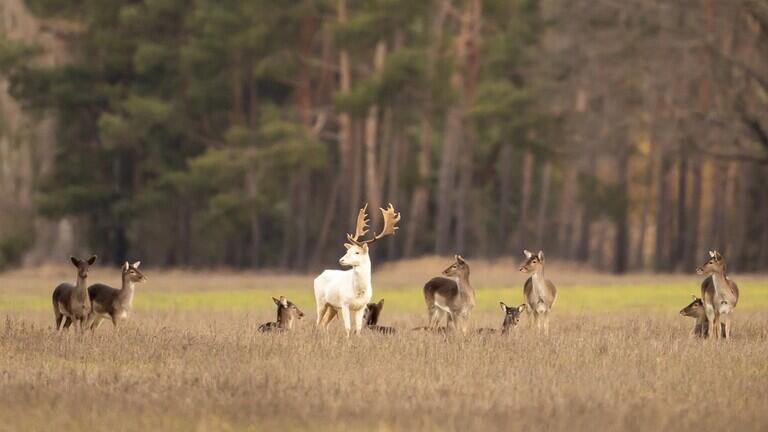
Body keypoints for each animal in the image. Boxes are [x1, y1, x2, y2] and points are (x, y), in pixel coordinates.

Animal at [314, 203, 402, 338]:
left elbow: (359, 327)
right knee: (317, 322)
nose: (341, 260)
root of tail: (319, 275)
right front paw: (347, 340)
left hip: (333, 306)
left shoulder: (361, 306)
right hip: (321, 301)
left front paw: (358, 339)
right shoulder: (344, 303)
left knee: (324, 323)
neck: (358, 291)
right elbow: (348, 327)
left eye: (357, 252)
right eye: (347, 251)